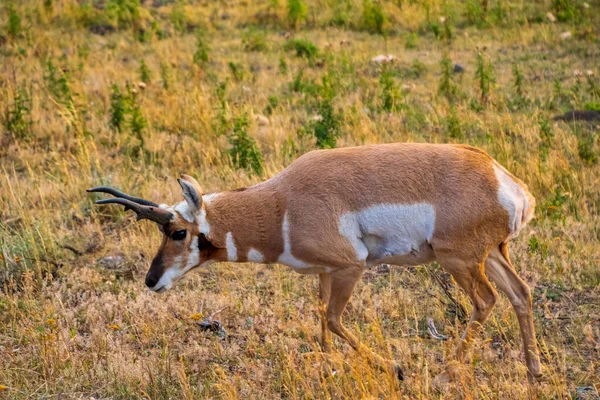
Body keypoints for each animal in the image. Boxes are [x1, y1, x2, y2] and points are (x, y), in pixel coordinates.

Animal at [89, 144, 544, 384]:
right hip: (492, 254)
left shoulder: (349, 267)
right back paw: (534, 370)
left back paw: (446, 372)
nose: (151, 280)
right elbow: (321, 319)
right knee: (520, 293)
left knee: (486, 301)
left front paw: (393, 367)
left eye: (177, 232)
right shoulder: (325, 273)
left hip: (459, 261)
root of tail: (504, 181)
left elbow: (333, 319)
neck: (281, 204)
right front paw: (327, 370)